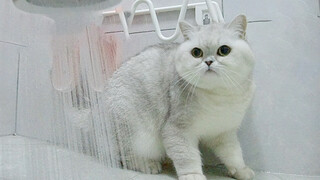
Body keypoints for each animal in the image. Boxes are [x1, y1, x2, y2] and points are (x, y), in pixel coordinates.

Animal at [104, 14, 255, 179]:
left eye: (224, 50)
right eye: (196, 52)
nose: (208, 61)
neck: (218, 96)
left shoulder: (224, 132)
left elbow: (233, 154)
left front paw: (241, 170)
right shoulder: (177, 130)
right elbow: (187, 156)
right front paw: (193, 175)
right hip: (135, 133)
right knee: (127, 156)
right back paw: (149, 165)